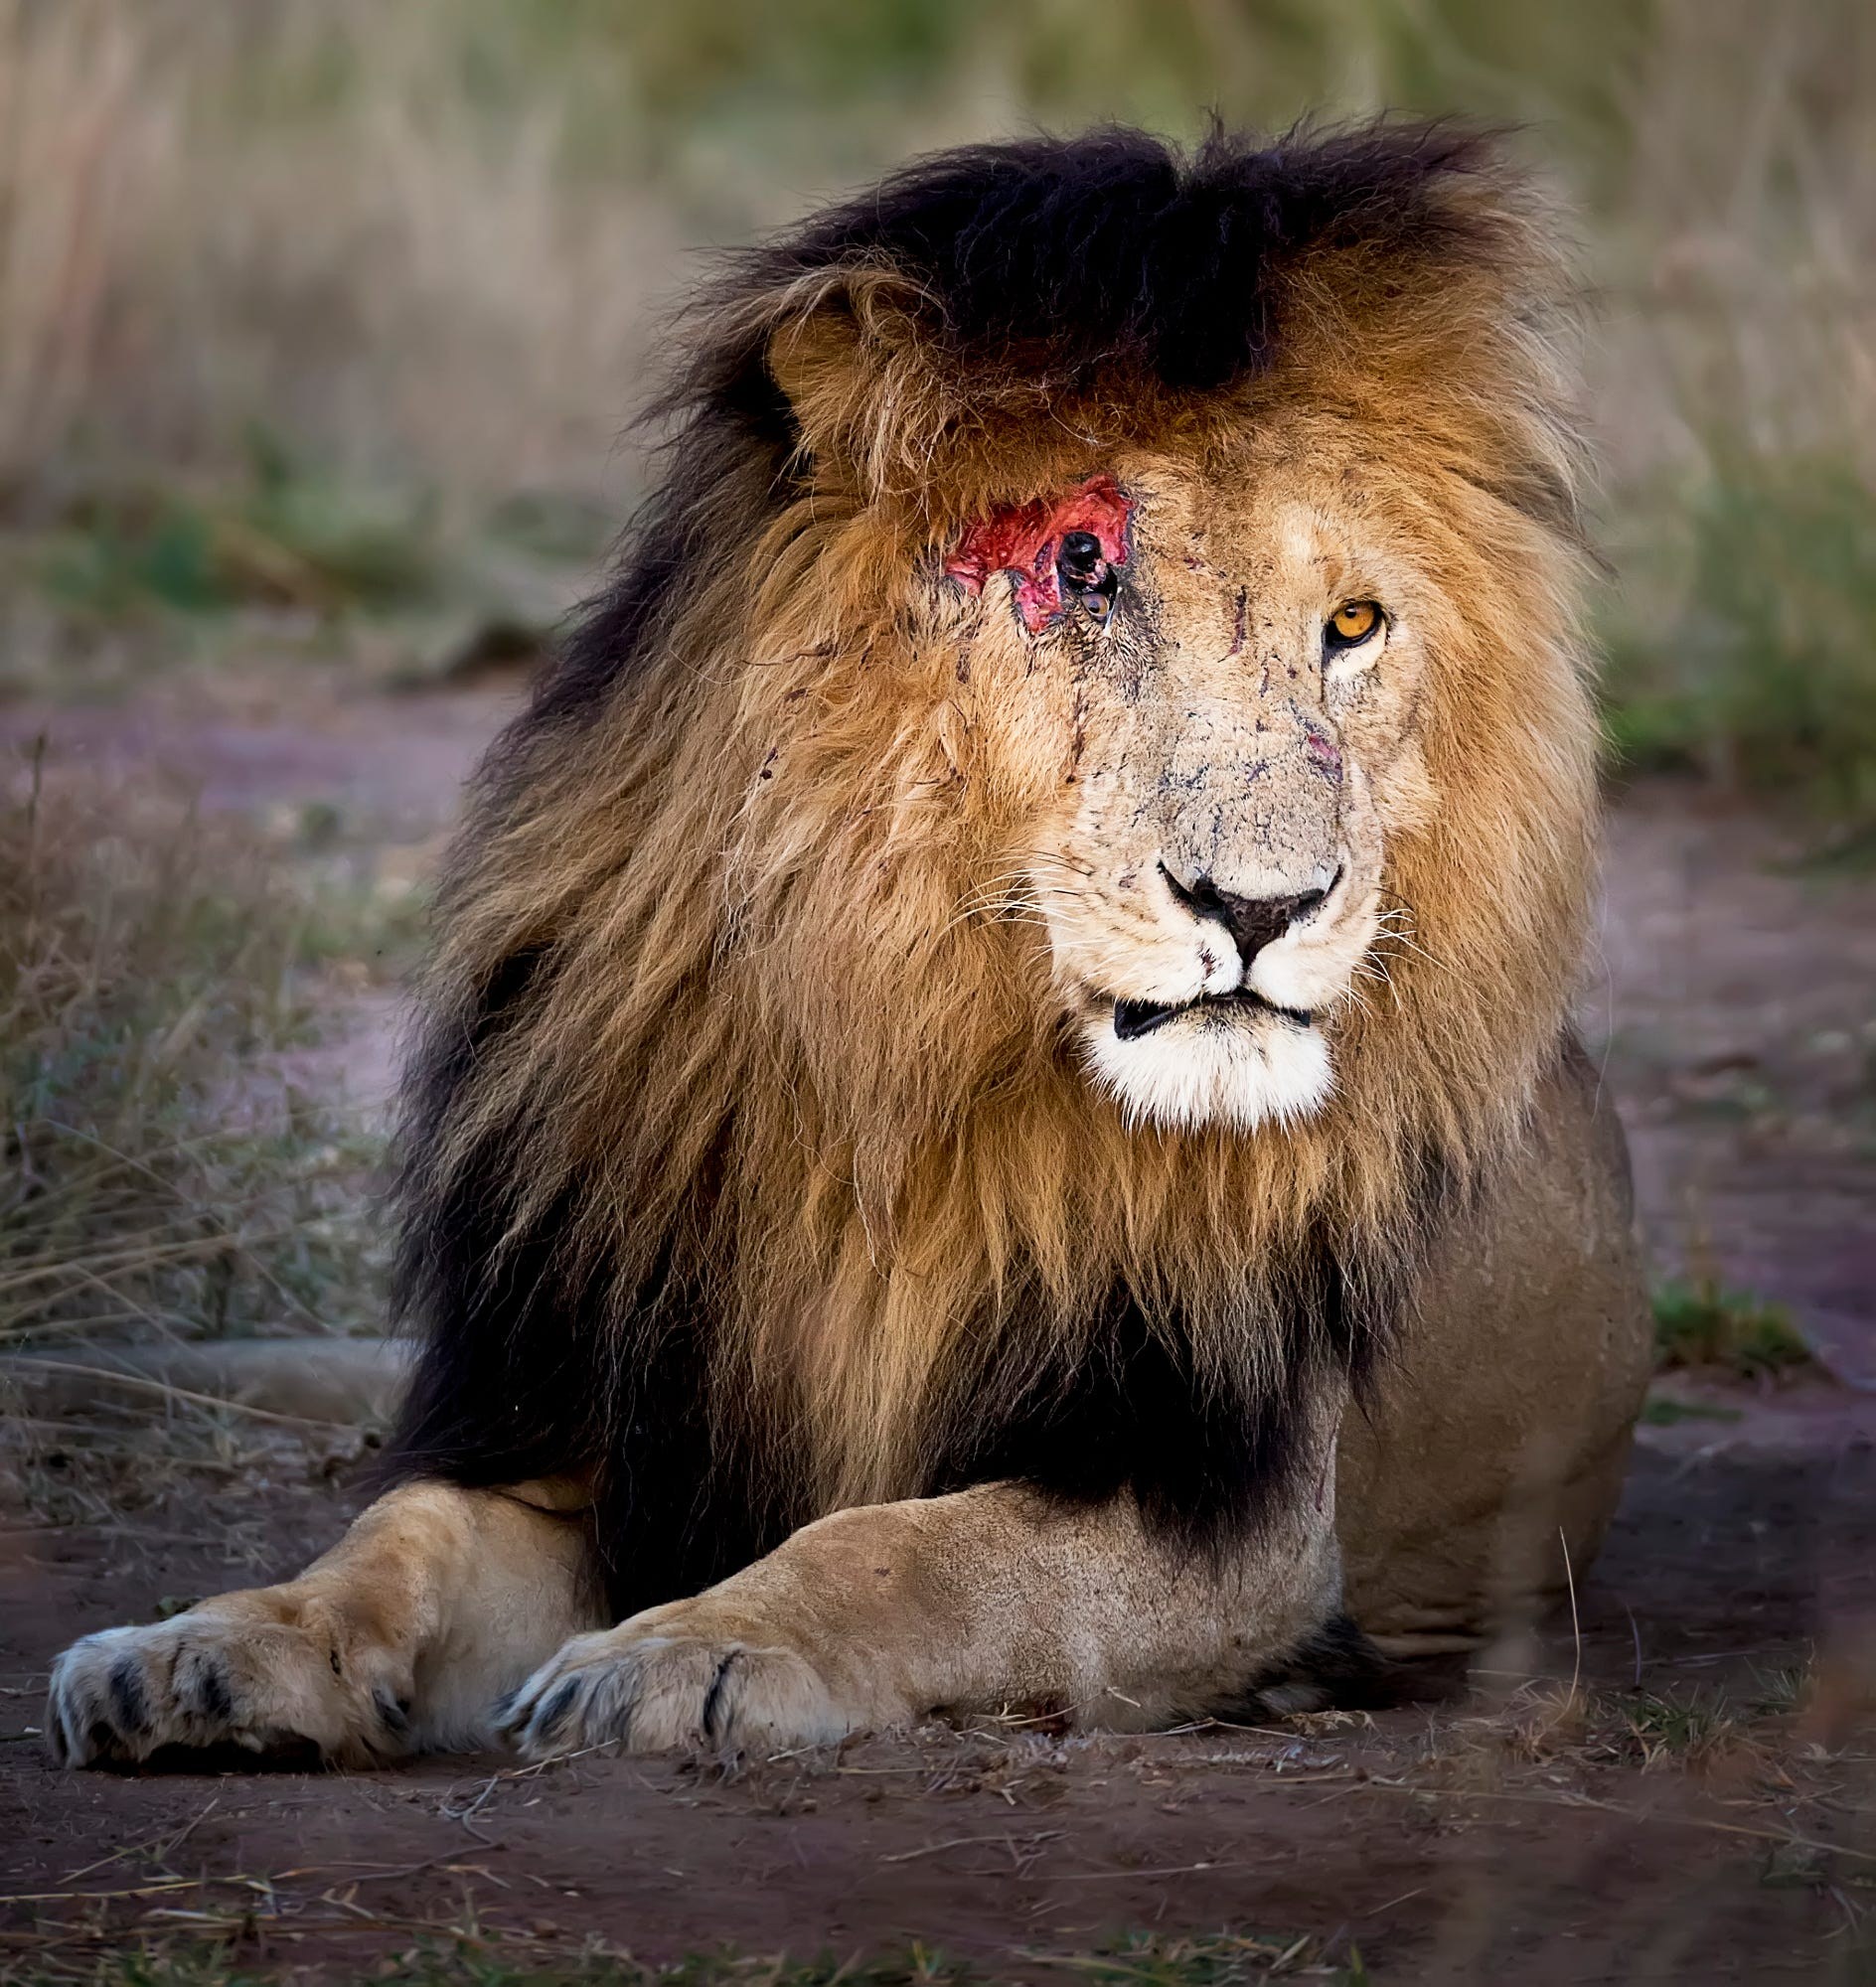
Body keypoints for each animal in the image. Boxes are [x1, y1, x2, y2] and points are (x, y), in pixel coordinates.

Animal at [44, 124, 1645, 1772]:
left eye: (1354, 624)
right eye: (1083, 572)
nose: (1267, 907)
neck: (900, 1059)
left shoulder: (1231, 1516)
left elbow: (907, 1550)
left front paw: (689, 1653)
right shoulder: (596, 1429)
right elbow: (399, 1537)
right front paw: (208, 1653)